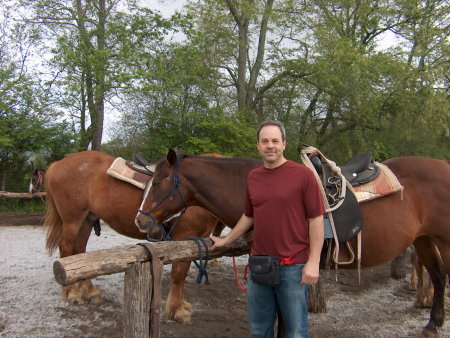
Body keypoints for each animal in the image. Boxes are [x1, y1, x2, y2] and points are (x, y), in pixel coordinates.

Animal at [43, 150, 222, 322]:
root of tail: (56, 165)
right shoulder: (184, 237)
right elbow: (179, 273)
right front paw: (177, 310)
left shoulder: (193, 242)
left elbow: (182, 272)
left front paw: (180, 305)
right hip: (72, 220)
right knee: (66, 248)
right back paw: (72, 293)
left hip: (88, 219)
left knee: (80, 251)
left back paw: (90, 291)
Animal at [136, 151, 450, 338]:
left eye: (160, 181)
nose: (141, 221)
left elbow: (285, 317)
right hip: (423, 239)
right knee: (438, 276)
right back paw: (432, 324)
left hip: (443, 240)